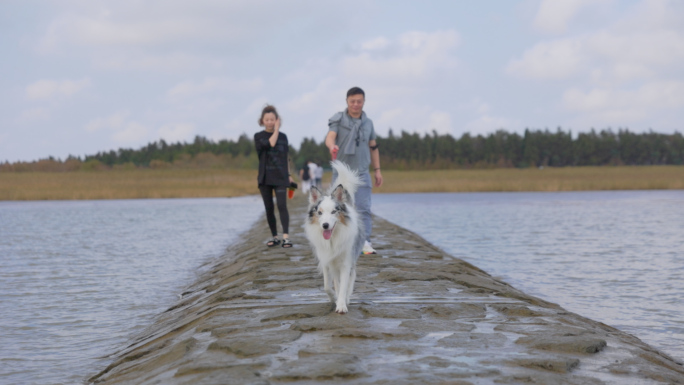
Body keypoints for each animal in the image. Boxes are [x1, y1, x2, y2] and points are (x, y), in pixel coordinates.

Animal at [306, 159, 366, 312]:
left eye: (334, 211)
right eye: (319, 212)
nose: (325, 225)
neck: (332, 239)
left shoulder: (346, 261)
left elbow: (345, 284)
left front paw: (341, 305)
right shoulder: (326, 260)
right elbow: (328, 285)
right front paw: (334, 297)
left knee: (351, 276)